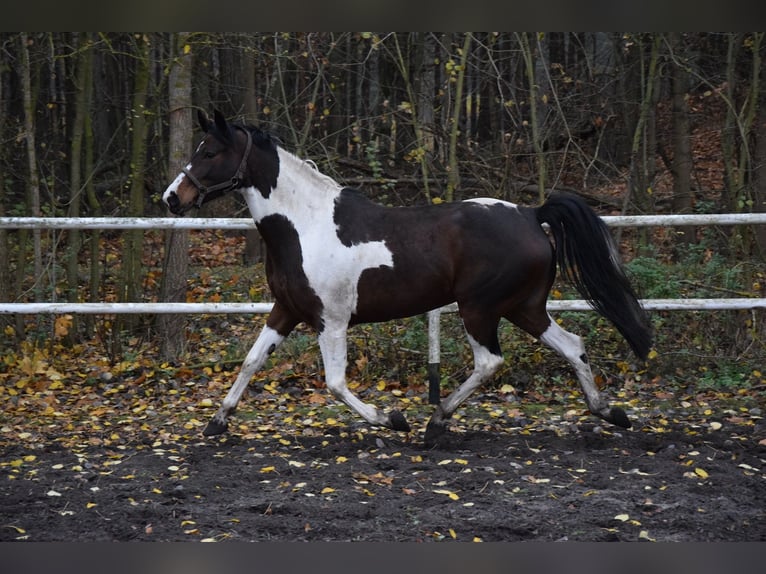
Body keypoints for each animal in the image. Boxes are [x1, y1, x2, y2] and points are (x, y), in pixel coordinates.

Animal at [162, 110, 656, 448]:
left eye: (209, 152)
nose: (171, 197)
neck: (306, 224)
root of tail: (532, 215)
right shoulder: (285, 311)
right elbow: (251, 362)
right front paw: (217, 422)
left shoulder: (331, 321)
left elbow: (335, 383)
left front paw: (391, 419)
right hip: (524, 307)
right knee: (572, 345)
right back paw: (608, 412)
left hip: (479, 308)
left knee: (489, 362)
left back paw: (435, 423)